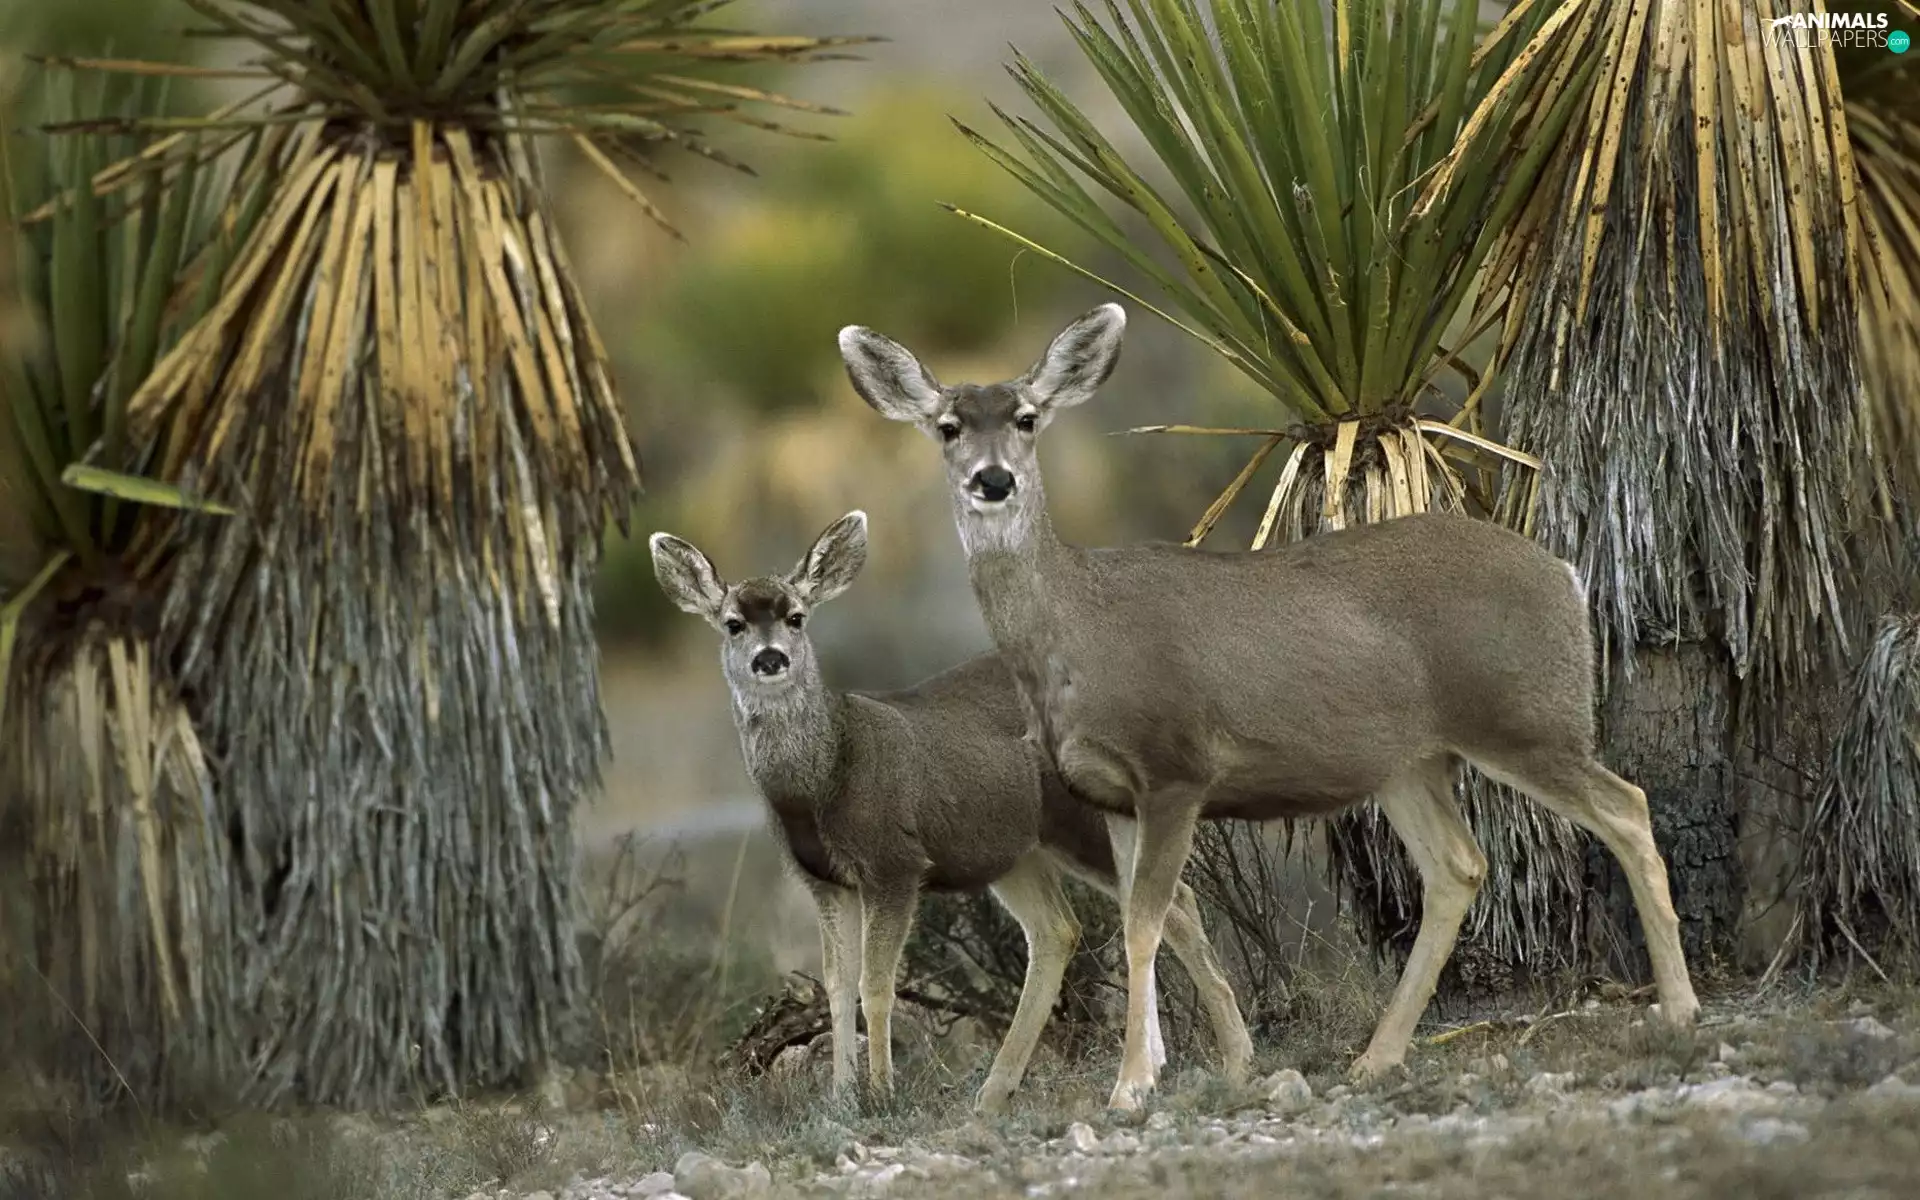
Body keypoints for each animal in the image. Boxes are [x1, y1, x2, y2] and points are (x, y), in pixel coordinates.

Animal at [648, 510, 1254, 1113]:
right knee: (1060, 928)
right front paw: (841, 1097)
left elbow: (876, 985)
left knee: (1172, 900)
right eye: (732, 623)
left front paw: (881, 1093)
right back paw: (1000, 1088)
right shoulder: (823, 881)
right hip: (1012, 850)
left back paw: (1231, 1058)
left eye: (796, 617)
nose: (770, 658)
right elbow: (837, 986)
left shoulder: (894, 863)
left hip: (1082, 822)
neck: (824, 777)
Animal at [838, 303, 1702, 1112]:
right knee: (1459, 867)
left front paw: (1129, 1085)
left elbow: (1145, 921)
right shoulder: (1109, 793)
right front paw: (1171, 1068)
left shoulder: (1176, 766)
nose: (993, 480)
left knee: (1626, 806)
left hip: (1524, 717)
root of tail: (1566, 574)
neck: (1076, 634)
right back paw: (1376, 1056)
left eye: (1025, 417)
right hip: (1409, 761)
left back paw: (1681, 1008)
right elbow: (1157, 918)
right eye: (948, 426)